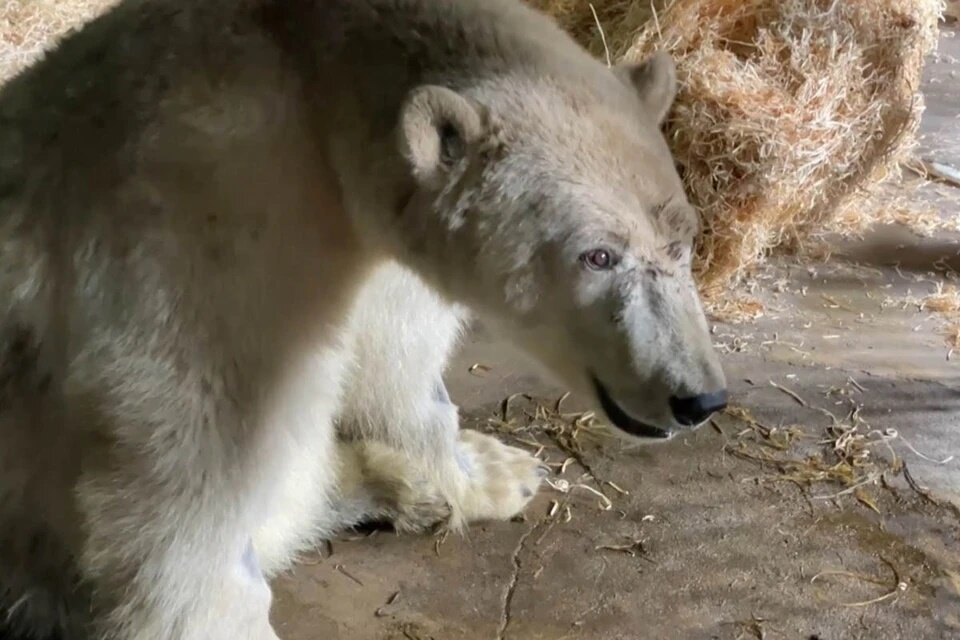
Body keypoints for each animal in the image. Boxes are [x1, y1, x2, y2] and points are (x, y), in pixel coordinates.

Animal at [0, 1, 724, 640]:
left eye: (683, 241)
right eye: (597, 254)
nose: (699, 397)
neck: (310, 86)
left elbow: (395, 364)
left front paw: (493, 471)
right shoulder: (199, 233)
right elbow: (186, 477)